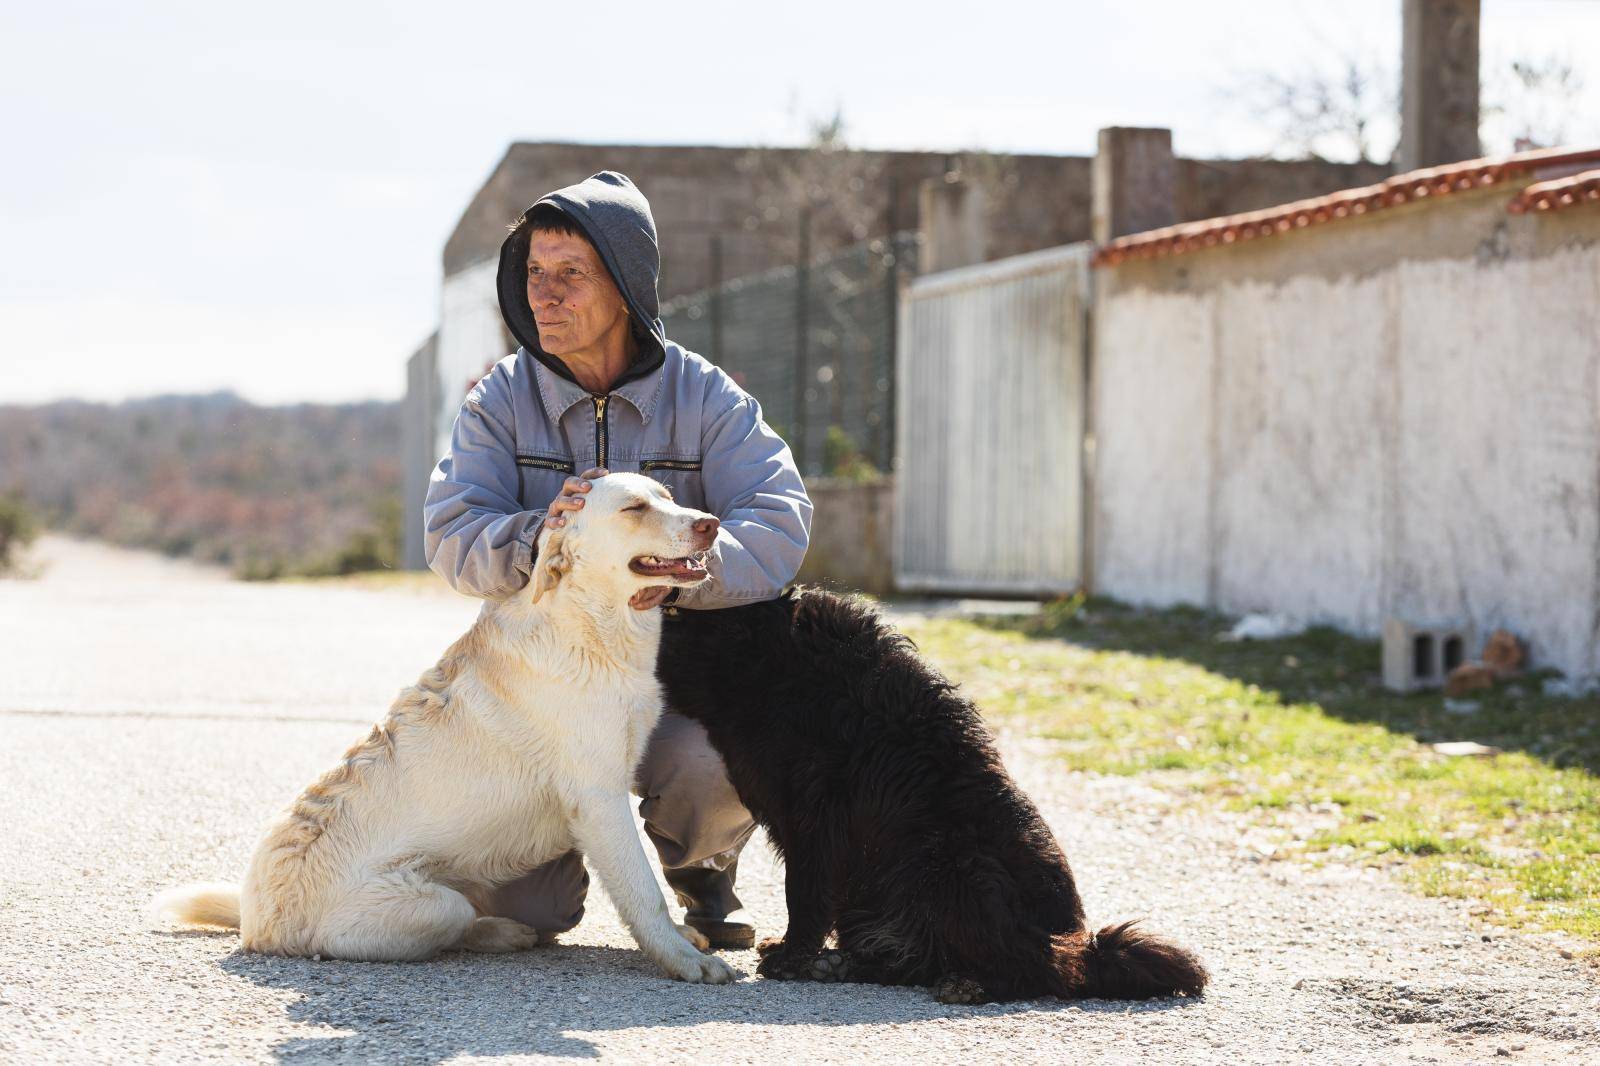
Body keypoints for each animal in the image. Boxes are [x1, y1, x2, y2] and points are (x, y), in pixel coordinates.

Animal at [147, 473, 732, 979]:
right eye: (634, 508)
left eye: (668, 496)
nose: (711, 523)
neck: (588, 628)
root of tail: (254, 919)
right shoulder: (600, 801)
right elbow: (645, 894)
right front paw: (682, 960)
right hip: (434, 904)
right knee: (458, 923)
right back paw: (500, 931)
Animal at [656, 585, 1203, 998]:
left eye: (674, 610)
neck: (771, 665)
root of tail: (1078, 944)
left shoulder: (815, 822)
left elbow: (804, 895)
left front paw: (791, 957)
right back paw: (846, 965)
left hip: (950, 866)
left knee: (1039, 969)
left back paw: (968, 984)